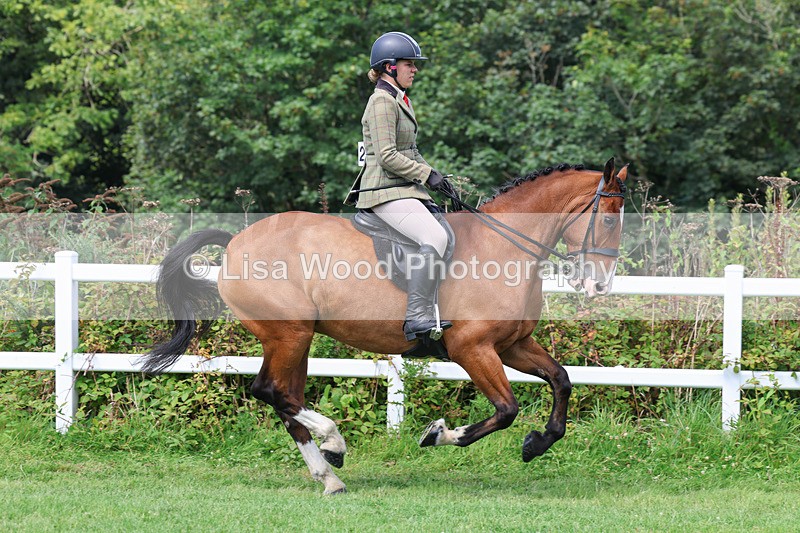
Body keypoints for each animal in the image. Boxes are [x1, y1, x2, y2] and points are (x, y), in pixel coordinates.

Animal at [141, 158, 628, 494]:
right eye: (608, 218)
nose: (599, 285)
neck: (503, 248)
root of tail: (235, 244)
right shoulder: (472, 348)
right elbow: (506, 410)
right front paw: (439, 434)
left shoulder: (513, 345)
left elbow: (561, 380)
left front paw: (537, 443)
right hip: (288, 334)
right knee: (271, 392)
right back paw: (334, 445)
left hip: (297, 340)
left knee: (285, 399)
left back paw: (328, 476)